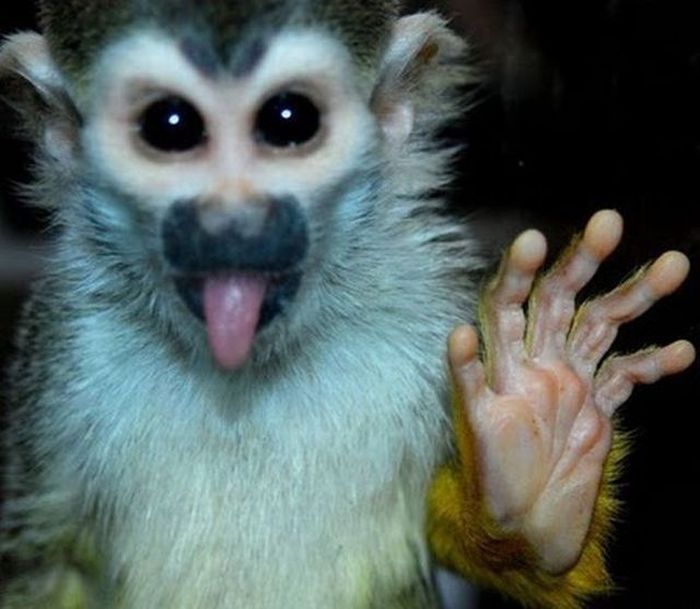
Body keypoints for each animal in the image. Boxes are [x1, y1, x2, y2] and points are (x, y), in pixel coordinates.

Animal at [0, 1, 694, 608]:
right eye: (169, 127)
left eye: (289, 120)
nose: (232, 221)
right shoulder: (61, 352)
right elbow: (38, 563)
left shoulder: (429, 316)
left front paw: (539, 457)